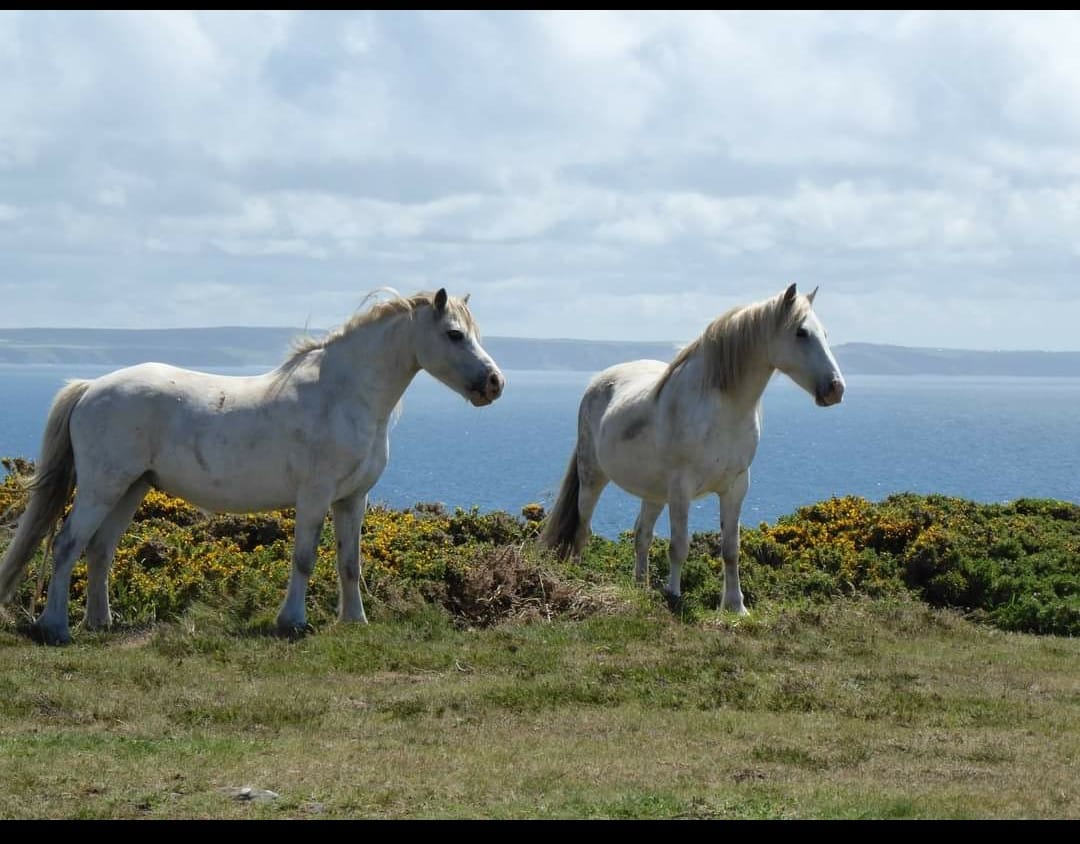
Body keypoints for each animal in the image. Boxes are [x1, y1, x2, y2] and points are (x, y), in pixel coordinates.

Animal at [0, 287, 505, 644]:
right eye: (454, 334)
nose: (494, 383)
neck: (344, 396)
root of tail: (91, 386)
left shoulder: (352, 499)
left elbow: (349, 563)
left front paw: (354, 620)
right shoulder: (315, 496)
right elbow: (304, 558)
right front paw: (293, 622)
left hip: (132, 487)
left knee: (99, 549)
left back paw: (100, 622)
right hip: (102, 486)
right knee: (67, 543)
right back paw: (55, 627)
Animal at [540, 285, 842, 613]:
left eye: (825, 333)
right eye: (801, 332)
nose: (835, 389)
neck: (723, 411)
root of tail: (598, 382)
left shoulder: (736, 487)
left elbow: (731, 549)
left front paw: (735, 605)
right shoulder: (681, 489)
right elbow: (679, 546)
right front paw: (673, 594)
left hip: (653, 492)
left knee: (641, 535)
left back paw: (640, 586)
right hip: (593, 477)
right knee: (583, 528)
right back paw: (578, 573)